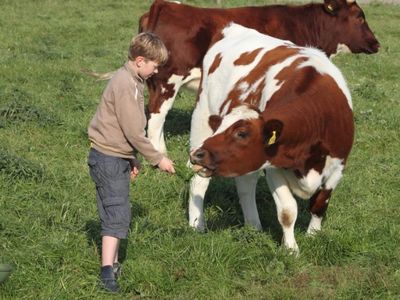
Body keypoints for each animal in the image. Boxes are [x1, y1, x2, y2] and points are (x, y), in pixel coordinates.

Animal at [141, 0, 378, 154]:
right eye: (359, 17)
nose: (376, 43)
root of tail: (165, 5)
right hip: (168, 81)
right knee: (157, 116)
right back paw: (161, 157)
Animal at [188, 22, 354, 253]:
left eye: (241, 133)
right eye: (219, 127)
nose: (199, 154)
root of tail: (233, 28)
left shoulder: (338, 167)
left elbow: (320, 204)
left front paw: (313, 236)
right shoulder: (274, 167)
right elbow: (287, 211)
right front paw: (291, 249)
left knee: (245, 184)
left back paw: (253, 226)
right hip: (201, 118)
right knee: (198, 182)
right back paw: (197, 224)